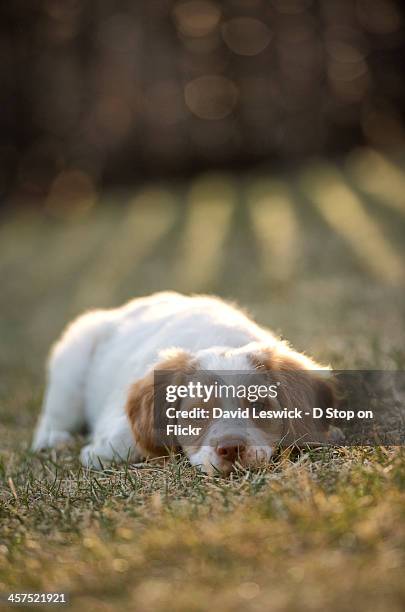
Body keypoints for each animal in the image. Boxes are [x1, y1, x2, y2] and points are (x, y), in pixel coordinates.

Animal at [32, 292, 340, 474]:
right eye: (197, 413)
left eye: (260, 406)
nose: (230, 449)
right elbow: (125, 439)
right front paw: (96, 452)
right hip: (71, 368)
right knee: (53, 417)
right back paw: (53, 440)